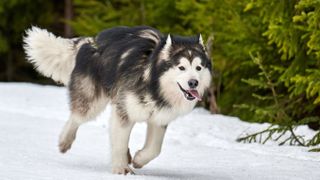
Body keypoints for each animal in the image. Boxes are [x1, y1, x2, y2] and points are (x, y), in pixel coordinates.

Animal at [23, 25, 212, 174]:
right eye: (181, 67)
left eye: (198, 67)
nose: (193, 82)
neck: (152, 83)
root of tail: (92, 40)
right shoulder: (124, 112)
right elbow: (120, 142)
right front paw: (121, 169)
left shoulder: (159, 118)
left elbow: (154, 149)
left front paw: (138, 159)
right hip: (92, 102)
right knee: (77, 117)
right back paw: (65, 141)